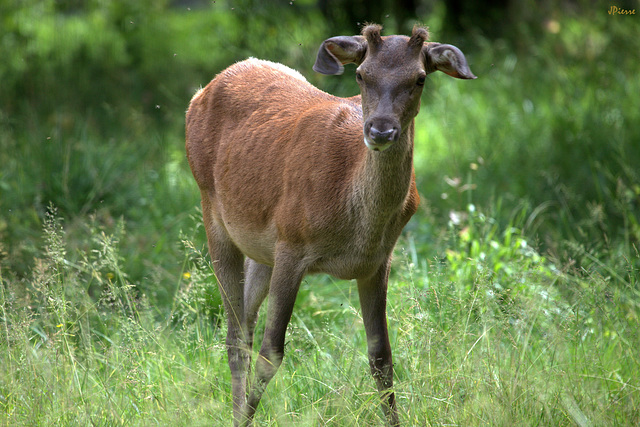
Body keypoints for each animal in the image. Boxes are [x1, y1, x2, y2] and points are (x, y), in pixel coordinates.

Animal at [185, 24, 476, 427]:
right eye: (361, 75)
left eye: (419, 78)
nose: (380, 131)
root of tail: (200, 92)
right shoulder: (291, 244)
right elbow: (271, 352)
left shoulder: (377, 262)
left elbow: (381, 358)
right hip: (212, 210)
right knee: (235, 338)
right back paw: (238, 415)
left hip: (261, 251)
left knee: (245, 322)